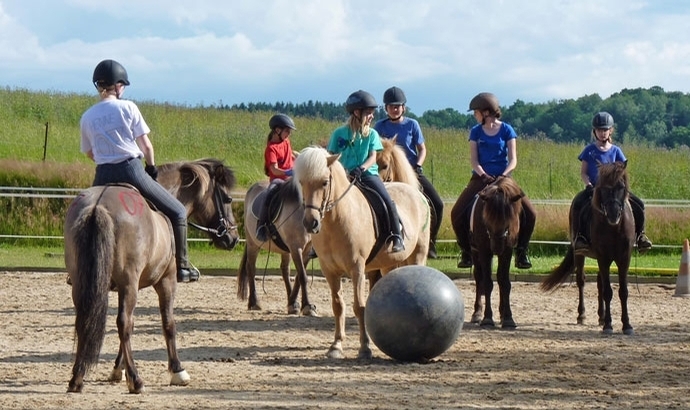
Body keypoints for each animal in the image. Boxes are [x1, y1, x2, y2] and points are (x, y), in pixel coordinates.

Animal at [64, 159, 238, 392]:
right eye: (227, 199)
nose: (233, 238)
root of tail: (98, 205)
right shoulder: (166, 282)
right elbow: (168, 324)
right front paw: (177, 370)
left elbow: (132, 325)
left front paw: (118, 369)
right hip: (129, 283)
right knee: (122, 323)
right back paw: (136, 380)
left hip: (84, 283)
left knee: (87, 320)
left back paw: (78, 377)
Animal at [234, 178, 314, 316]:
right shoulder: (295, 247)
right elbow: (303, 276)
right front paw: (307, 306)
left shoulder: (306, 249)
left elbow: (299, 276)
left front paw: (295, 304)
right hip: (252, 243)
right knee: (251, 268)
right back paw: (254, 302)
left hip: (285, 250)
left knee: (285, 270)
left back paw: (291, 302)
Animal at [292, 146, 430, 358]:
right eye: (301, 182)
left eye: (324, 182)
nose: (310, 223)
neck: (337, 220)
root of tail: (415, 193)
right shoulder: (329, 271)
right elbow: (338, 306)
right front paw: (336, 346)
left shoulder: (357, 269)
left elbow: (359, 307)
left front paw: (365, 347)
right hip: (388, 264)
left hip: (418, 255)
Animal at [536, 162, 636, 334]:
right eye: (602, 187)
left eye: (621, 186)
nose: (613, 214)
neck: (614, 228)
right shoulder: (603, 257)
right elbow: (608, 292)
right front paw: (608, 326)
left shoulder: (624, 258)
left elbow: (623, 291)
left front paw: (627, 325)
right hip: (580, 254)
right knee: (581, 281)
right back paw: (582, 315)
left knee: (599, 283)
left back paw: (601, 317)